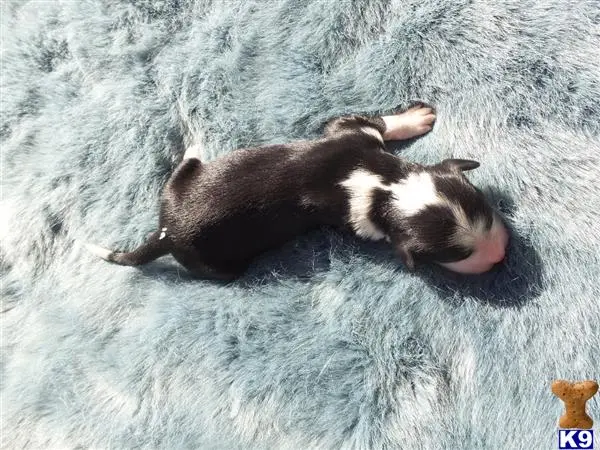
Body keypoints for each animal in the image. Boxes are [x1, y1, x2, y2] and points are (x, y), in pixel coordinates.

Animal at [86, 106, 508, 280]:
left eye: (486, 211)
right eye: (455, 255)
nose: (500, 255)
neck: (385, 185)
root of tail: (166, 233)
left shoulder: (351, 134)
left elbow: (374, 122)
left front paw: (414, 118)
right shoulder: (356, 215)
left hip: (174, 189)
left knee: (180, 171)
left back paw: (193, 149)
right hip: (215, 265)